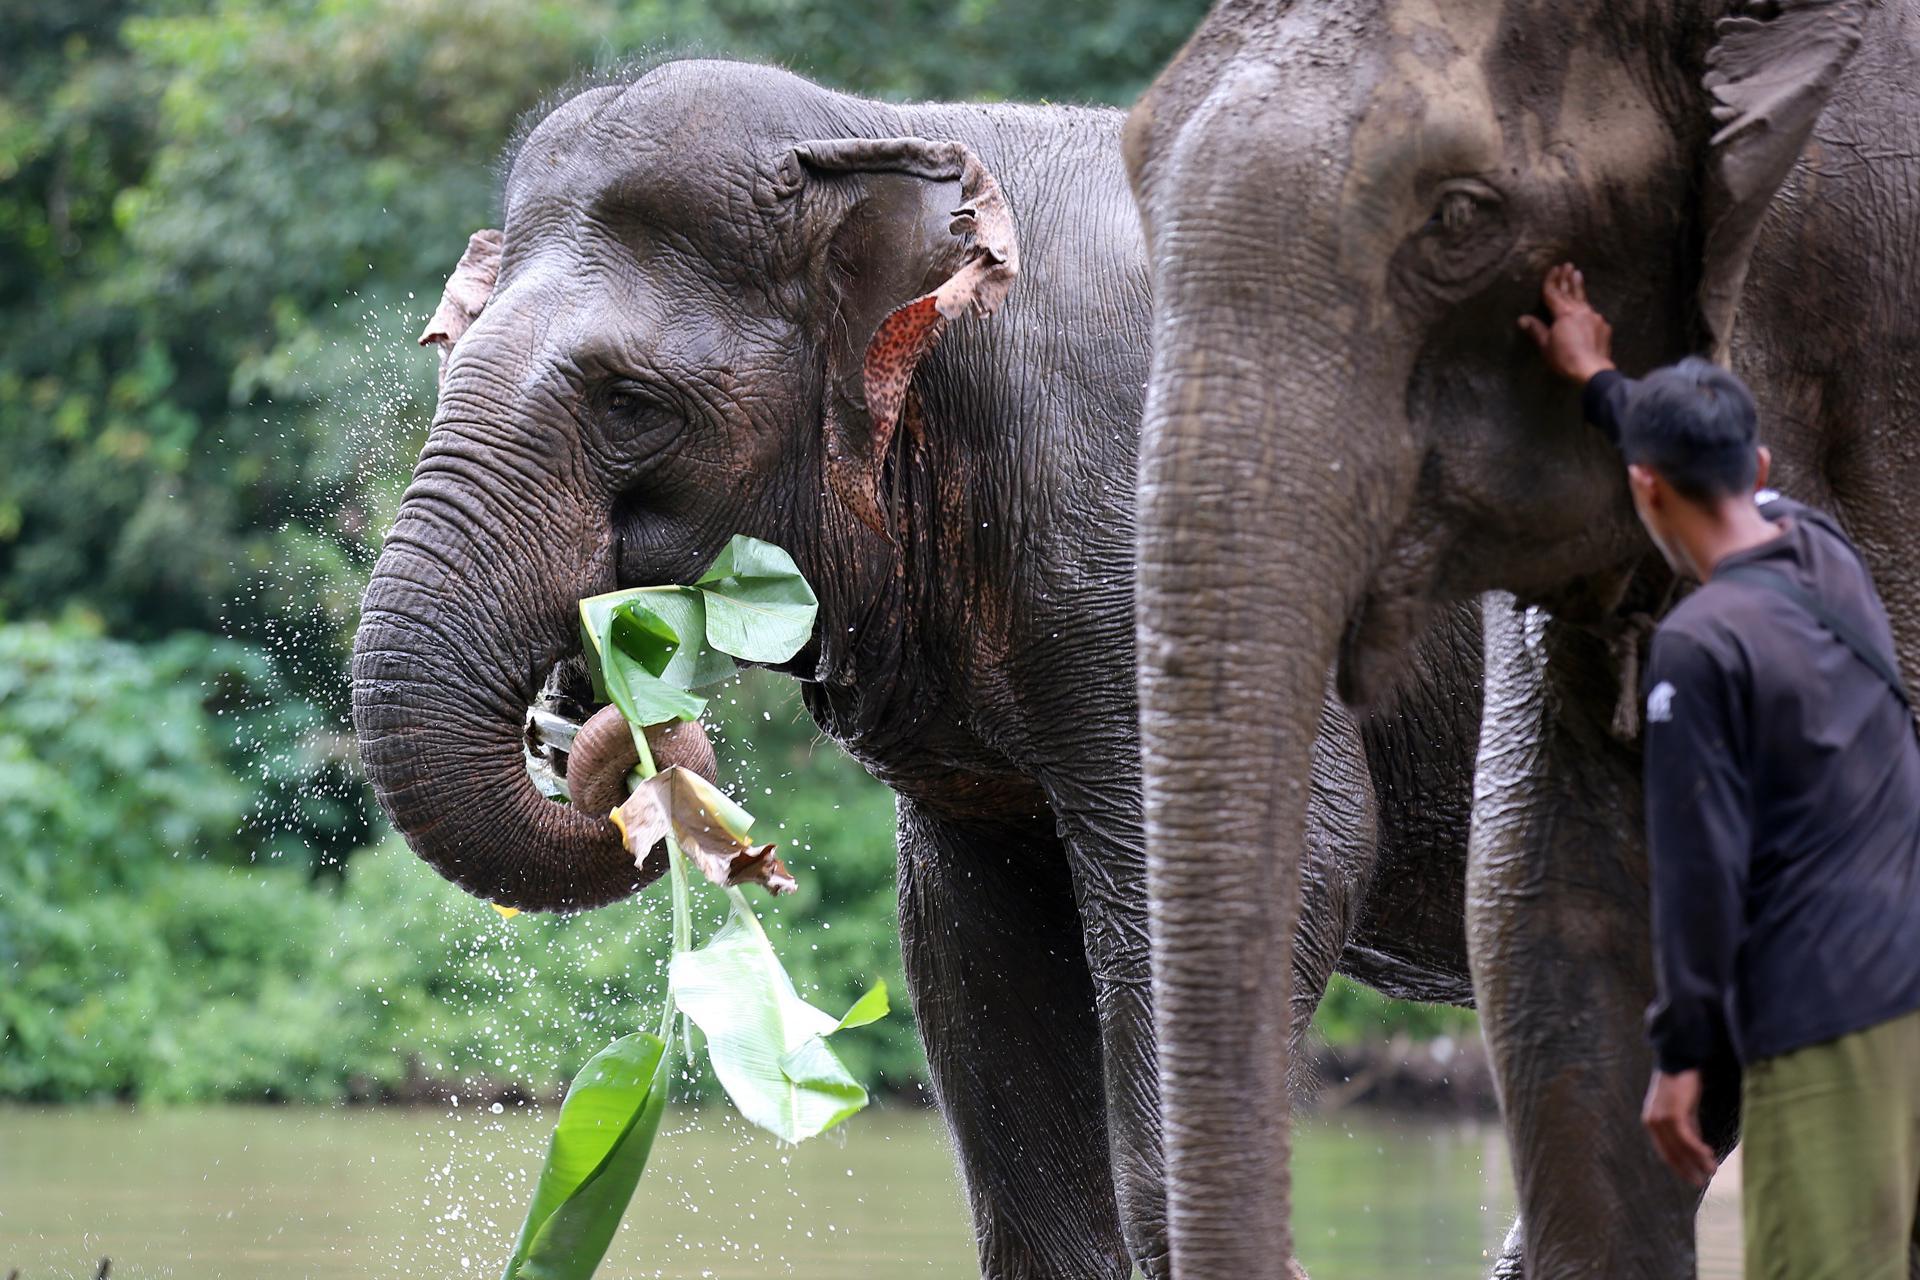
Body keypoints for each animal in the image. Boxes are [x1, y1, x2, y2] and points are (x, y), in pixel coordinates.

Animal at [349, 55, 1482, 1274]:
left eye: (631, 404)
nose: (586, 709)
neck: (890, 132)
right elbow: (971, 947)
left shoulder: (1164, 517)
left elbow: (1288, 850)